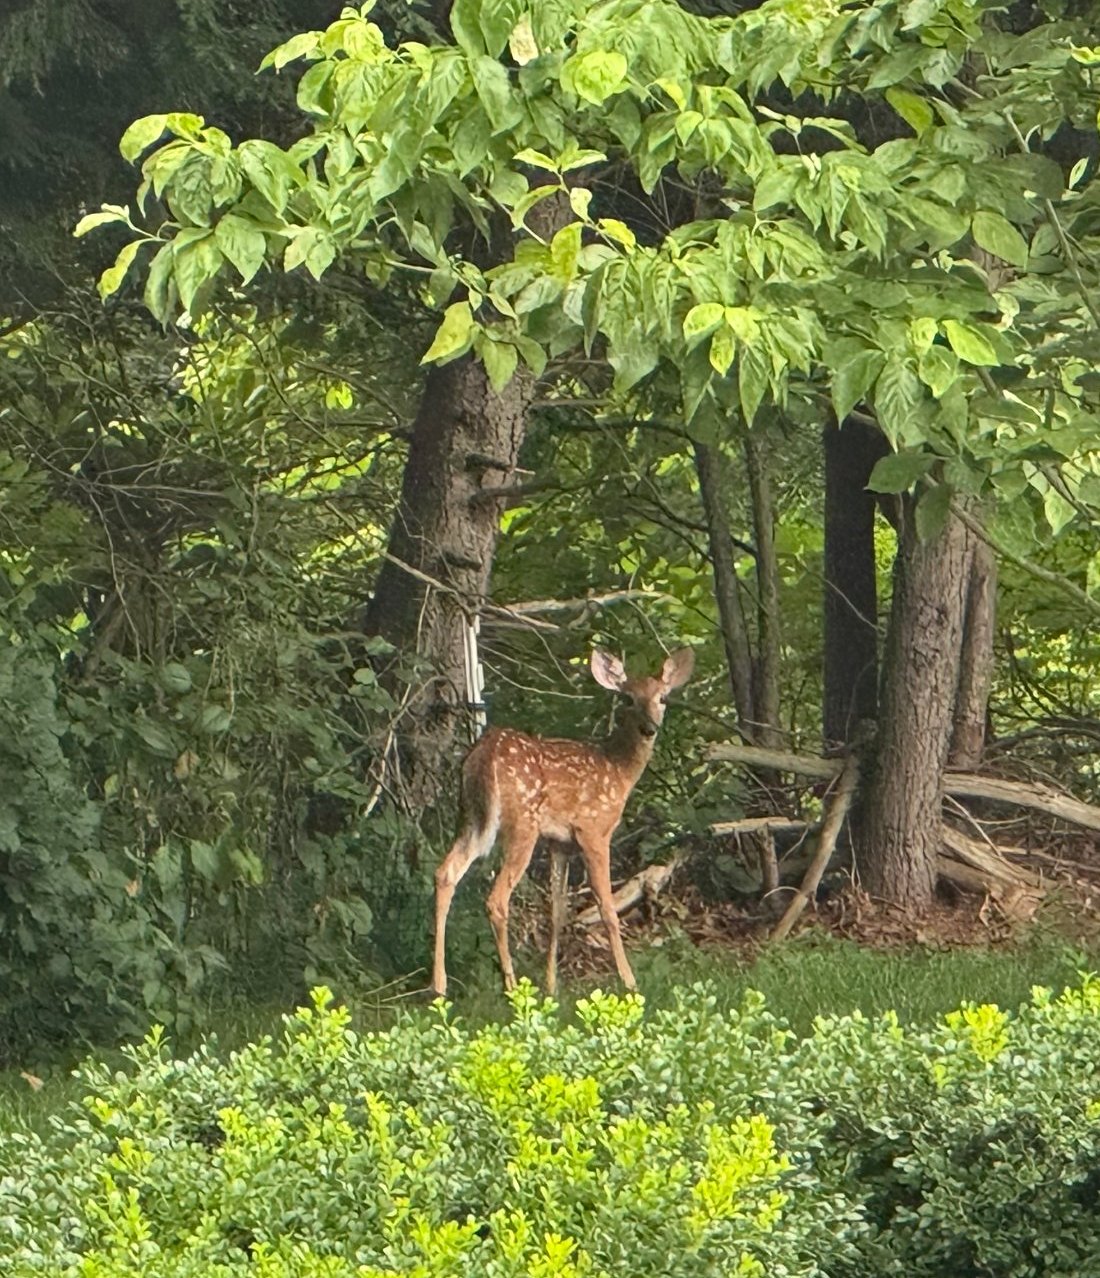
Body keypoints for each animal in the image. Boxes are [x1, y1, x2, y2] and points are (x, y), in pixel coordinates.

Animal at [431, 646, 695, 998]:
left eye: (662, 698)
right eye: (627, 699)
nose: (649, 728)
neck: (619, 771)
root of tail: (484, 753)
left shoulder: (560, 842)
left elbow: (557, 912)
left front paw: (552, 986)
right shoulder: (593, 830)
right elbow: (607, 907)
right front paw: (629, 981)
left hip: (472, 817)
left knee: (445, 873)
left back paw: (439, 985)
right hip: (522, 824)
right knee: (496, 899)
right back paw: (510, 985)